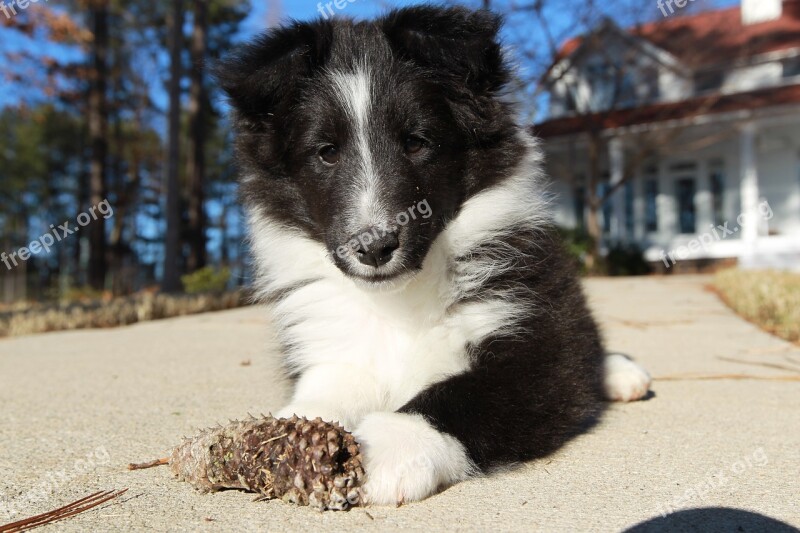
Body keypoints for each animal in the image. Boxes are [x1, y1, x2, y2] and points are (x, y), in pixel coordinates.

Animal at [216, 5, 652, 502]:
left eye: (416, 141)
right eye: (326, 152)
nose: (374, 247)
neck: (397, 301)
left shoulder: (537, 343)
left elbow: (466, 396)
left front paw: (386, 447)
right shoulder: (338, 350)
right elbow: (327, 387)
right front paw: (287, 434)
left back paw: (621, 373)